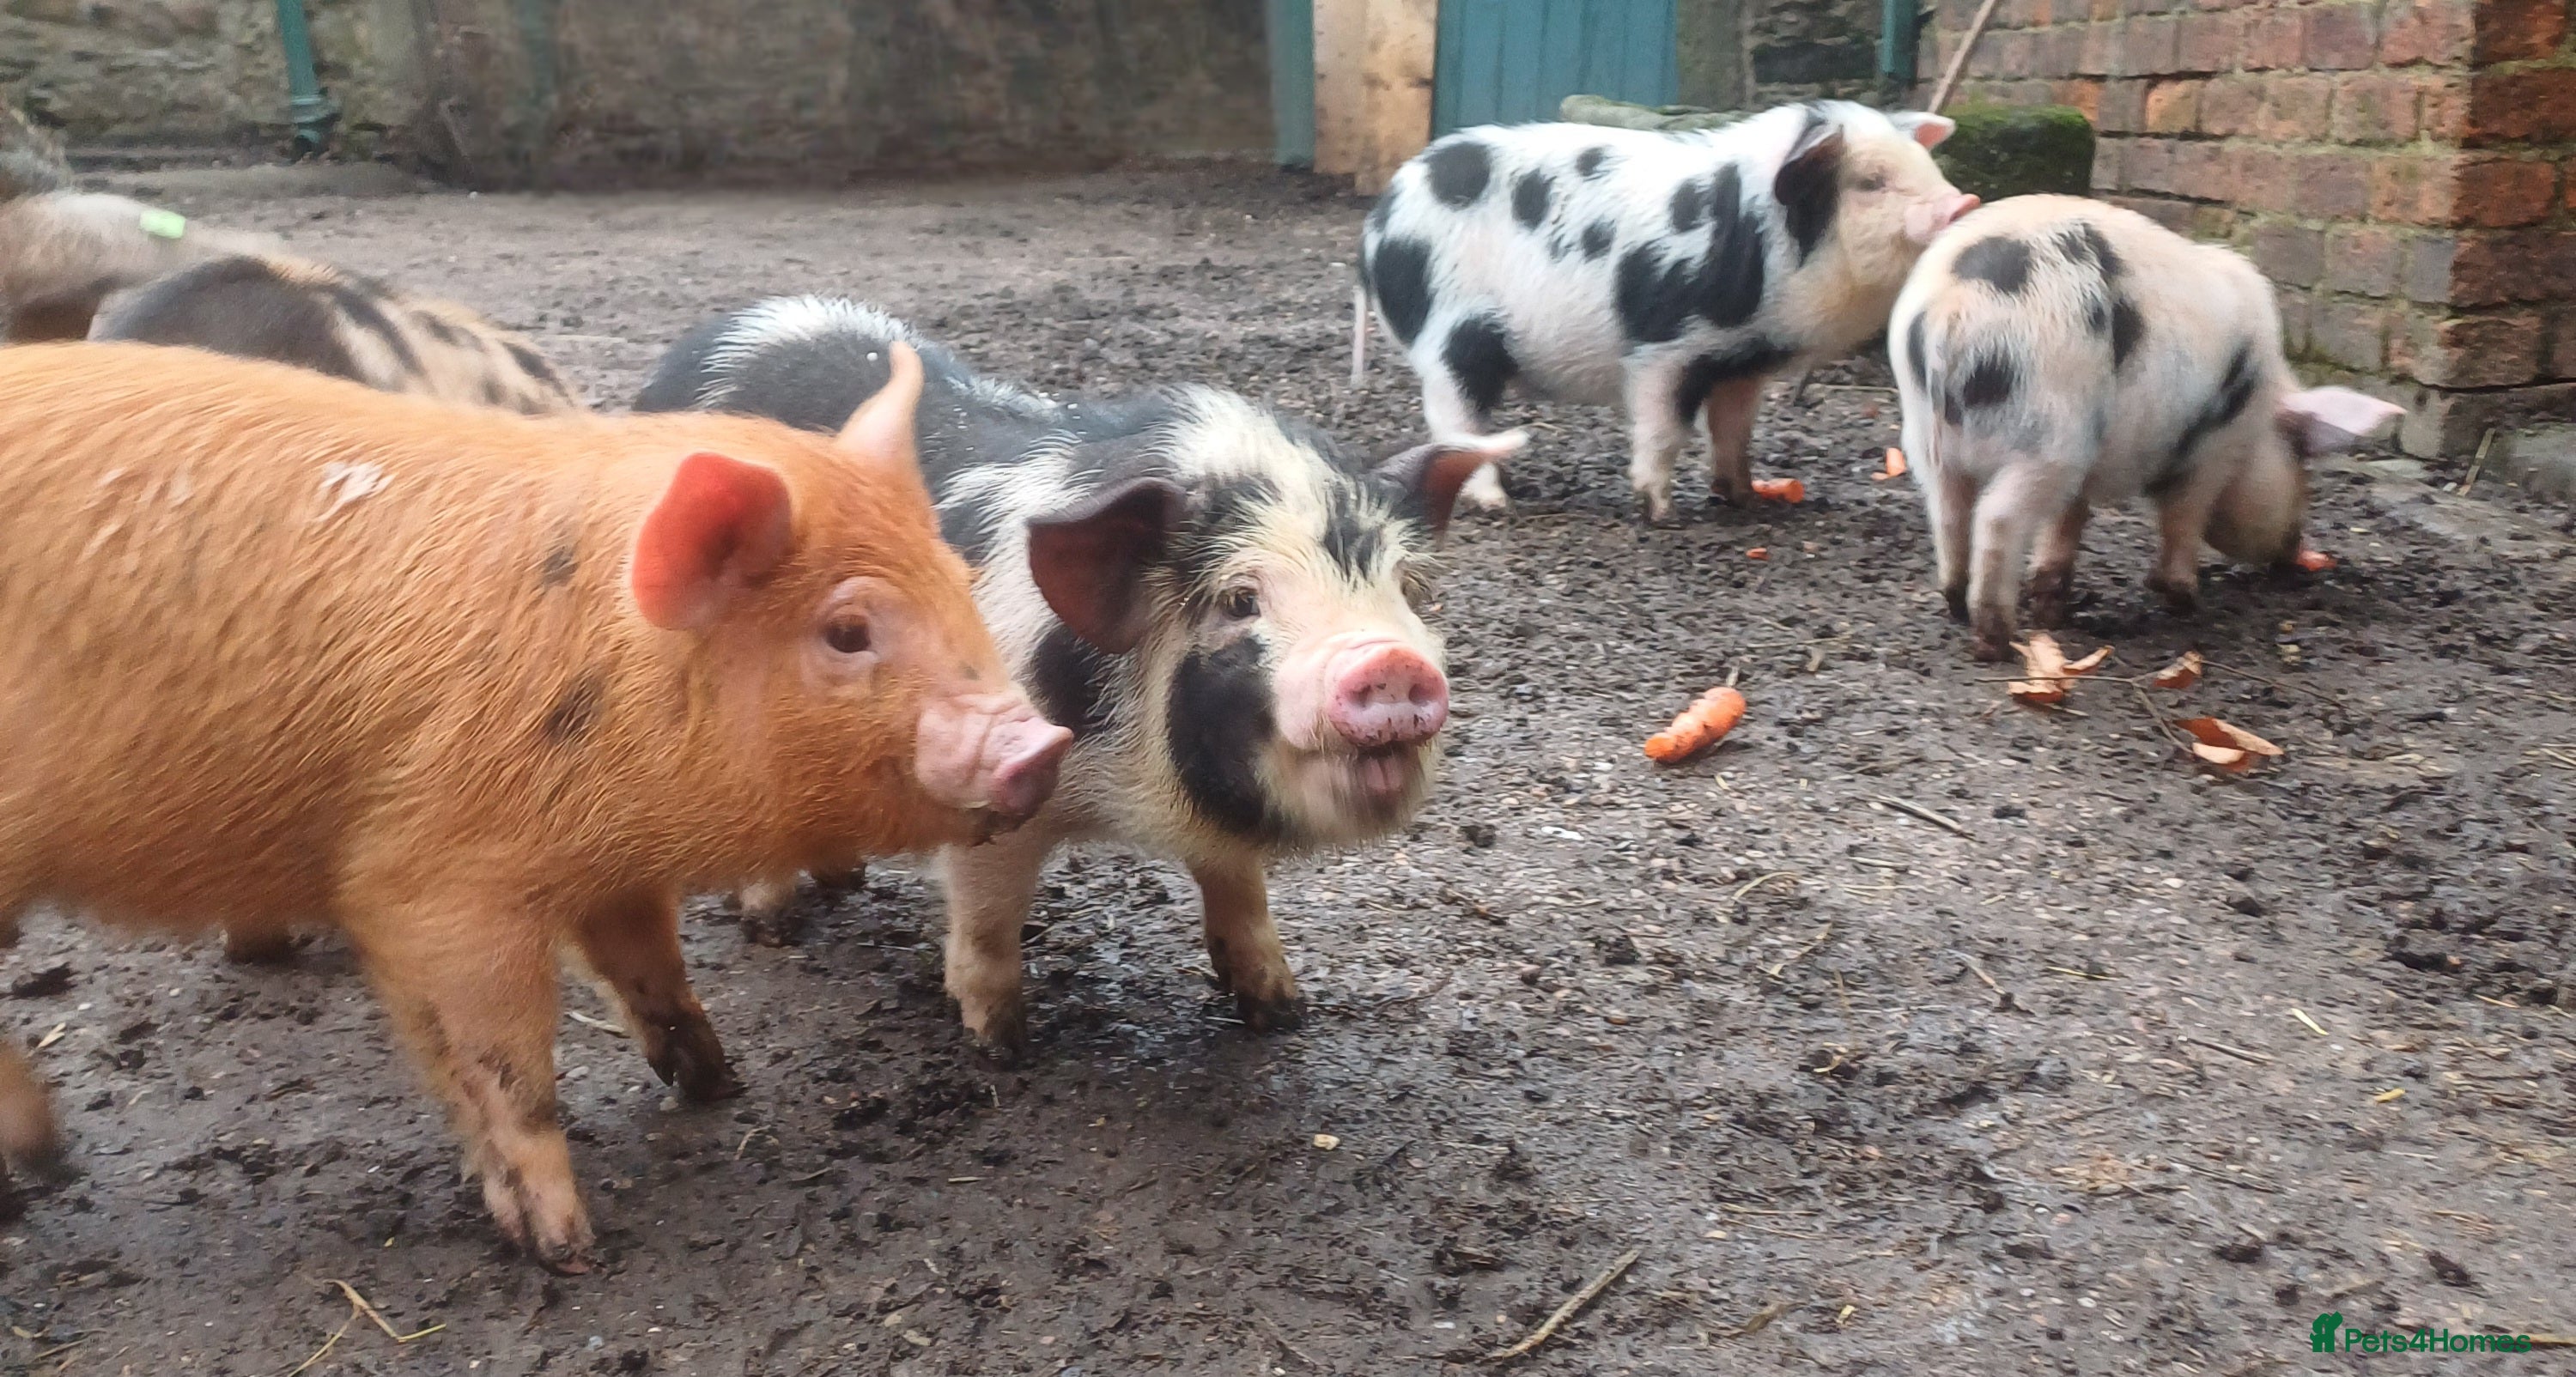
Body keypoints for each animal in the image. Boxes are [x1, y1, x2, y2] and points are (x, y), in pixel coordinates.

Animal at [0, 340, 1071, 1268]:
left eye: (960, 580)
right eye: (846, 631)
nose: (1041, 742)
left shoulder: (611, 865)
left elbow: (651, 970)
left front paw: (718, 1083)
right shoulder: (438, 884)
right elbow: (507, 1066)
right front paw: (568, 1246)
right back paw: (50, 1162)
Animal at [639, 296, 1519, 1057]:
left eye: (1409, 591)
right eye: (1241, 599)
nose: (1392, 663)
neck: (1120, 794)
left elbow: (1239, 889)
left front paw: (1282, 1010)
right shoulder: (992, 794)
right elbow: (989, 915)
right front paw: (1002, 1045)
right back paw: (772, 926)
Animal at [1356, 100, 1978, 521]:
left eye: (1924, 162)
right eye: (1871, 182)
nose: (1964, 202)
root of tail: (1378, 224)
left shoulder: (1742, 358)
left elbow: (1733, 428)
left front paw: (1743, 497)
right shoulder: (1668, 345)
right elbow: (1664, 427)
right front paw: (1660, 510)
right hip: (1450, 337)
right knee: (1456, 419)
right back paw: (1494, 503)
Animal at [1887, 195, 2406, 660]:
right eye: (2301, 465)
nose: (2295, 552)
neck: (2260, 415)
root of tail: (1953, 309)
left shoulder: (2091, 470)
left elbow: (2068, 523)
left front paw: (2053, 609)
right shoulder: (2212, 451)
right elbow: (2183, 517)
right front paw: (2184, 602)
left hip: (1925, 434)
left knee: (1949, 512)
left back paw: (1956, 604)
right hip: (2049, 433)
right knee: (1997, 518)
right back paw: (1994, 644)